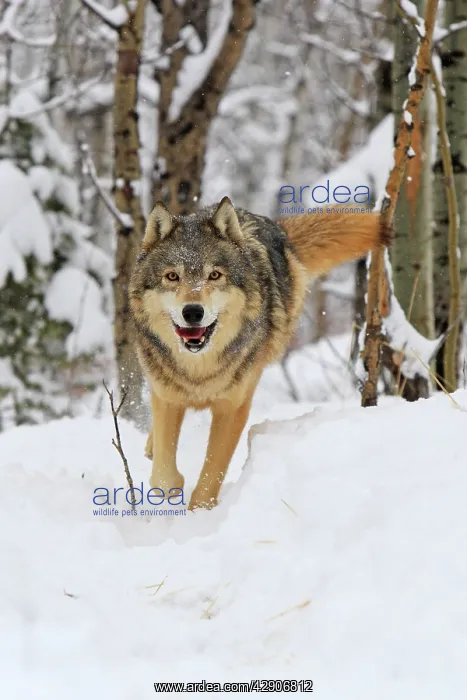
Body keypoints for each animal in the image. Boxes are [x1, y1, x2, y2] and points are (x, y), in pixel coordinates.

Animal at [129, 197, 388, 510]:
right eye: (172, 276)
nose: (192, 312)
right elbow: (164, 478)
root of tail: (273, 225)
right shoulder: (167, 398)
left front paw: (200, 514)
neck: (199, 371)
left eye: (214, 275)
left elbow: (211, 475)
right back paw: (150, 445)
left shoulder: (233, 408)